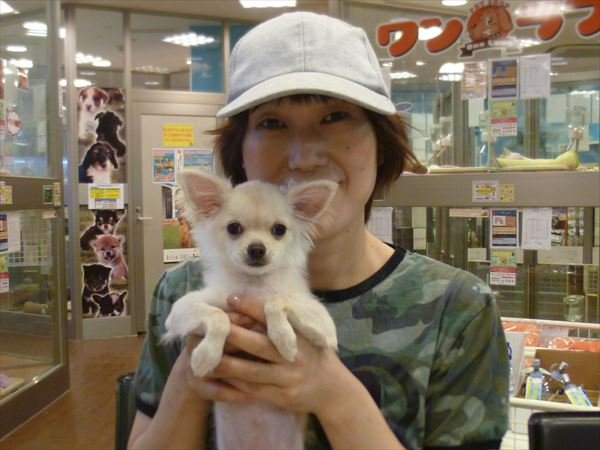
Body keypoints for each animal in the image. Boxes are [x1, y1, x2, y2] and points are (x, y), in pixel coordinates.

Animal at [163, 169, 338, 450]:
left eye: (279, 230)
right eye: (234, 228)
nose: (257, 248)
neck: (253, 286)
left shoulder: (324, 325)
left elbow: (275, 300)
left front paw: (285, 339)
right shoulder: (181, 311)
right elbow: (218, 315)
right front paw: (206, 356)